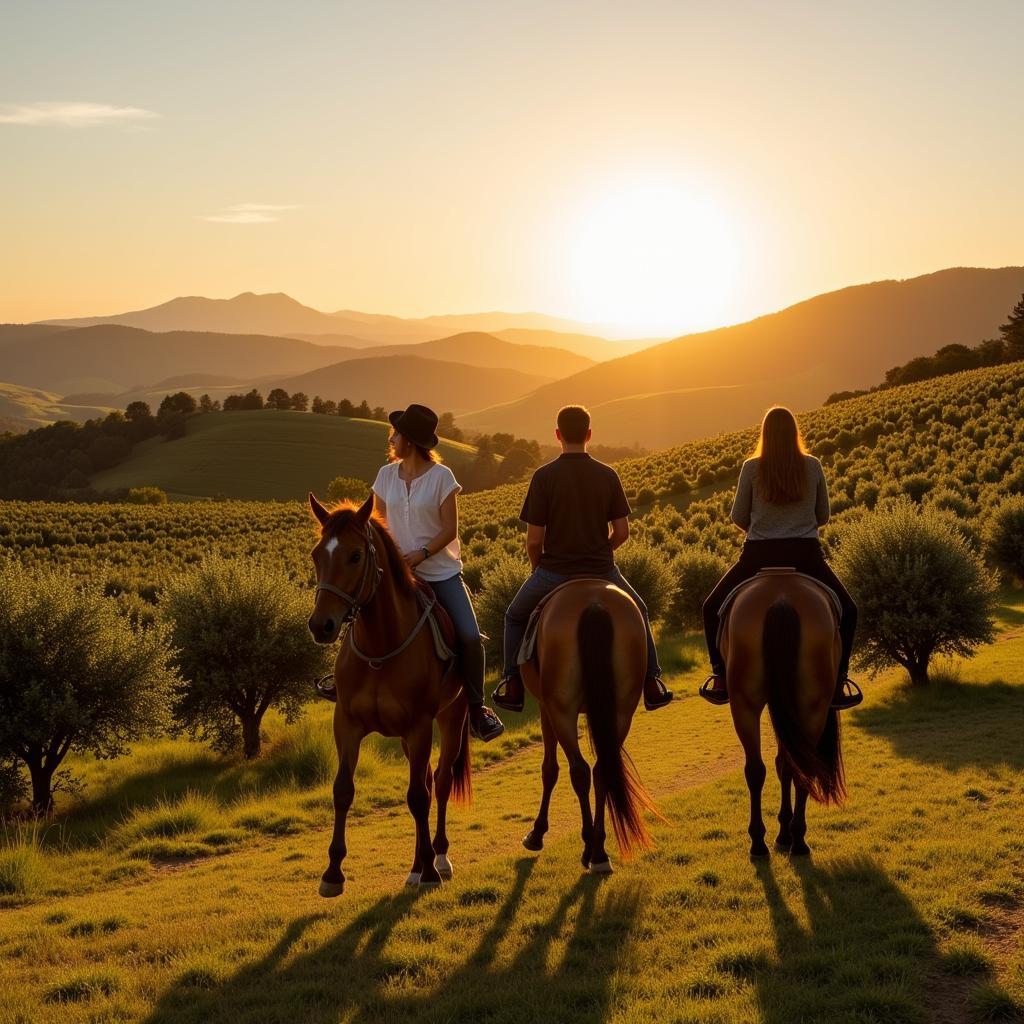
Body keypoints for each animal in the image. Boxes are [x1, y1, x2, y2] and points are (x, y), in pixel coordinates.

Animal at [305, 493, 468, 897]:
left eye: (355, 555)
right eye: (317, 555)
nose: (321, 625)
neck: (381, 647)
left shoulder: (420, 726)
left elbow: (419, 797)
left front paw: (430, 872)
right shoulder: (347, 724)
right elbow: (343, 790)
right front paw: (332, 873)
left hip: (452, 716)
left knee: (440, 783)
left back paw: (439, 858)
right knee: (426, 781)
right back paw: (417, 865)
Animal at [516, 581, 659, 876]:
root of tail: (594, 602)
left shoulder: (545, 708)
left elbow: (549, 770)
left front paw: (537, 833)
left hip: (562, 711)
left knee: (579, 771)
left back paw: (589, 848)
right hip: (622, 709)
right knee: (602, 768)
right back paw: (599, 851)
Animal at [716, 573, 843, 860]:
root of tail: (781, 599)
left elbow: (782, 763)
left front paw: (783, 832)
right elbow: (785, 763)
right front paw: (785, 832)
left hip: (746, 704)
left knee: (758, 769)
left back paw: (763, 842)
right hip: (810, 706)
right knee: (797, 766)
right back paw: (796, 841)